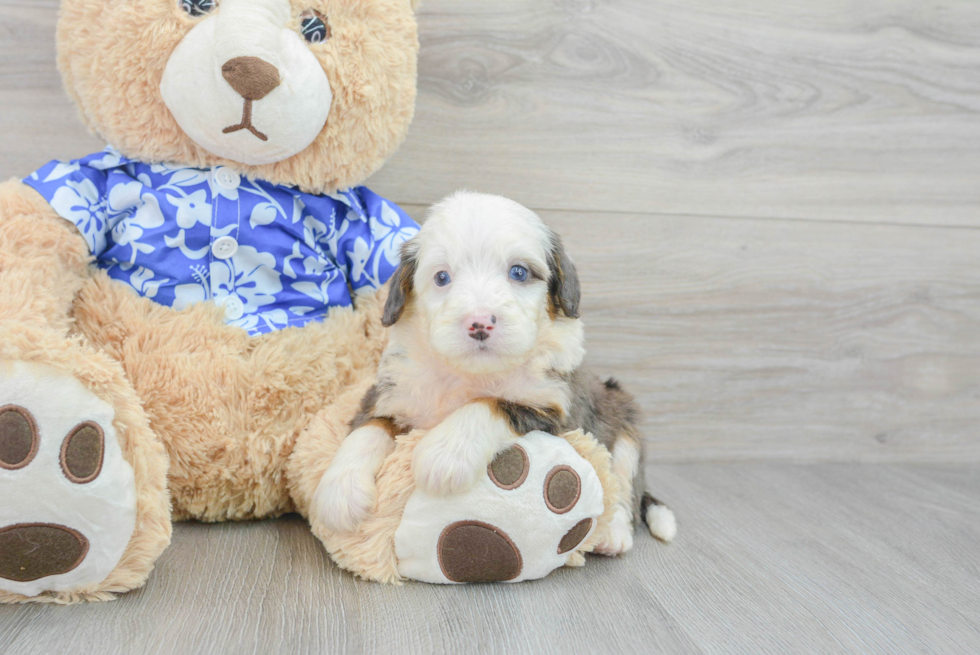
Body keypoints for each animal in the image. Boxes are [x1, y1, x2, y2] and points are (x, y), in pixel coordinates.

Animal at [314, 191, 672, 552]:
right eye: (442, 277)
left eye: (519, 272)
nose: (479, 323)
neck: (467, 372)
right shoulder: (390, 392)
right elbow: (369, 428)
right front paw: (338, 492)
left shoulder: (555, 410)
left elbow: (490, 403)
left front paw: (443, 454)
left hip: (624, 416)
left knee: (626, 482)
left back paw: (614, 532)